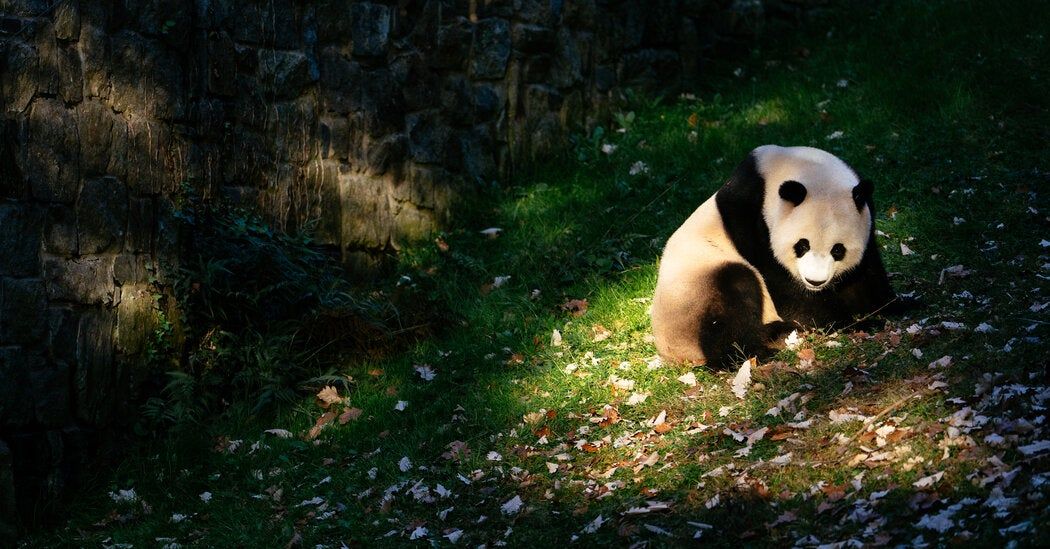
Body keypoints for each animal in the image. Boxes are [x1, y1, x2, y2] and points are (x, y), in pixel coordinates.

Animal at [651, 145, 900, 367]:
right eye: (802, 245)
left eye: (838, 250)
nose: (815, 281)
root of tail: (674, 354)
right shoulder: (751, 222)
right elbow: (784, 287)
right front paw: (849, 320)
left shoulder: (867, 216)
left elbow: (865, 272)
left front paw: (891, 306)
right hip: (691, 290)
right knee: (732, 291)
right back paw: (757, 348)